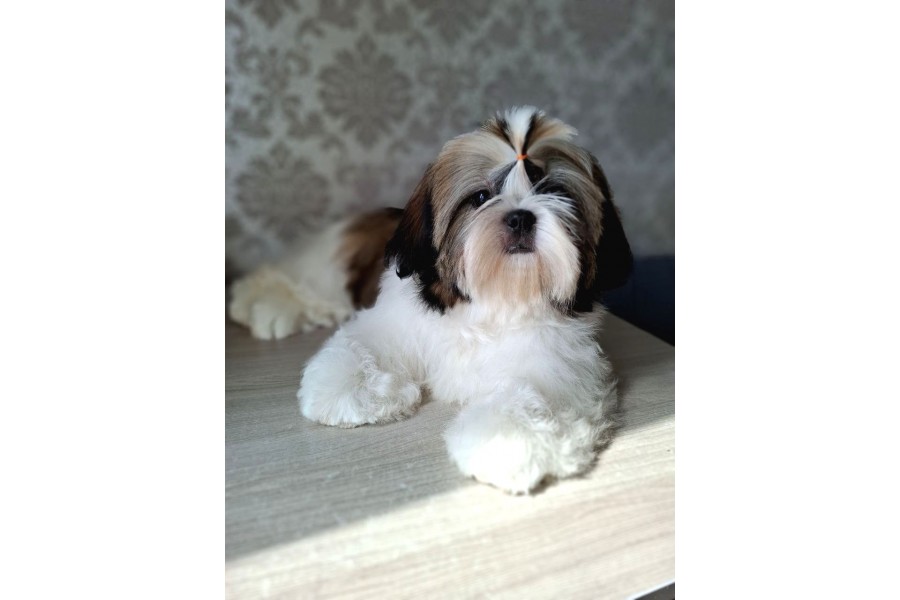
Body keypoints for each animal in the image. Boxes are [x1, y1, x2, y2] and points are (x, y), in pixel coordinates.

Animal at [229, 107, 633, 493]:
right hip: (323, 267)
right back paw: (261, 304)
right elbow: (358, 347)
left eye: (556, 192)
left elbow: (535, 390)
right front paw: (354, 391)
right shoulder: (394, 324)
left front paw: (509, 438)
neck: (495, 297)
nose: (520, 217)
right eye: (481, 197)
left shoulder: (559, 361)